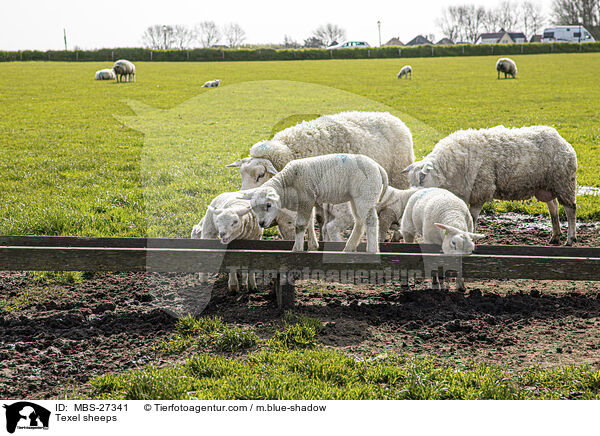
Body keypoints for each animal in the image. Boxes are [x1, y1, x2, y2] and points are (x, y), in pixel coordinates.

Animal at [240, 154, 390, 254]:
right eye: (254, 208)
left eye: (268, 205)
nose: (261, 223)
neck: (286, 183)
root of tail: (378, 167)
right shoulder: (307, 201)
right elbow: (309, 223)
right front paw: (312, 246)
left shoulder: (306, 198)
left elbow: (300, 226)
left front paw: (297, 249)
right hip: (356, 197)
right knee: (359, 222)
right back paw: (349, 247)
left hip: (366, 194)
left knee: (371, 220)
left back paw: (371, 250)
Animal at [404, 125, 576, 245]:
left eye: (422, 177)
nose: (413, 196)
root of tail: (560, 138)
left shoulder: (480, 191)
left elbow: (472, 217)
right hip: (546, 186)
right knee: (553, 208)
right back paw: (555, 236)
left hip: (564, 182)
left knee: (570, 209)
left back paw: (570, 238)